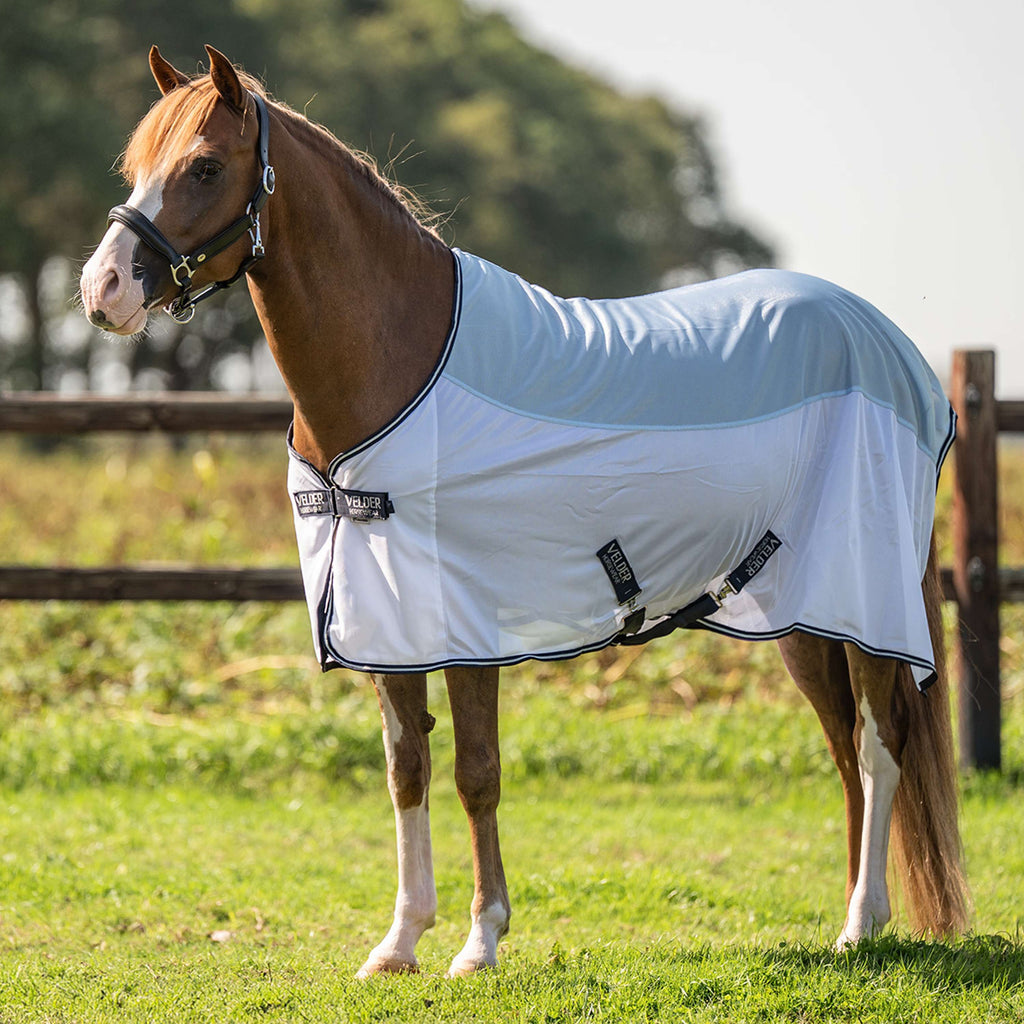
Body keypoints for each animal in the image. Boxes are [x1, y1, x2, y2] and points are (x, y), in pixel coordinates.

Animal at [80, 45, 970, 977]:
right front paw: (398, 942)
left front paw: (481, 940)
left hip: (864, 600)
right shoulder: (389, 622)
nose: (102, 290)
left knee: (879, 745)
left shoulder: (466, 624)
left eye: (205, 167)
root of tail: (891, 349)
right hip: (799, 610)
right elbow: (406, 768)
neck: (399, 365)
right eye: (135, 168)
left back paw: (861, 922)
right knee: (842, 748)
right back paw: (852, 920)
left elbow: (476, 771)